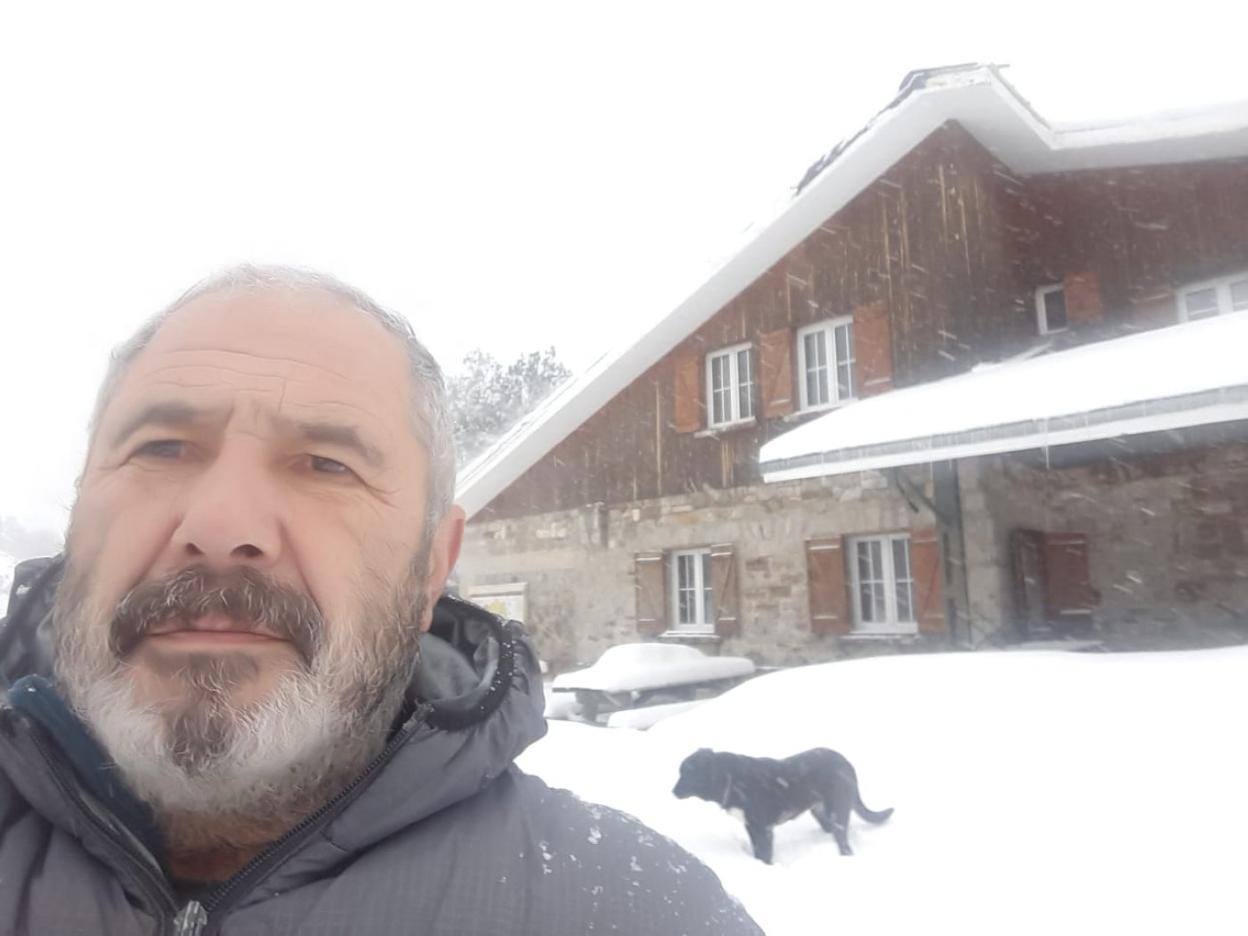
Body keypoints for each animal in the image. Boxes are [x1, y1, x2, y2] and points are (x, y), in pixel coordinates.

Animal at [678, 748, 893, 863]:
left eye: (686, 774)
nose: (673, 791)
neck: (730, 779)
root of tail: (846, 762)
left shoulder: (763, 828)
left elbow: (764, 853)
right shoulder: (751, 827)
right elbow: (758, 851)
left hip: (836, 812)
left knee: (843, 842)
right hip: (820, 812)